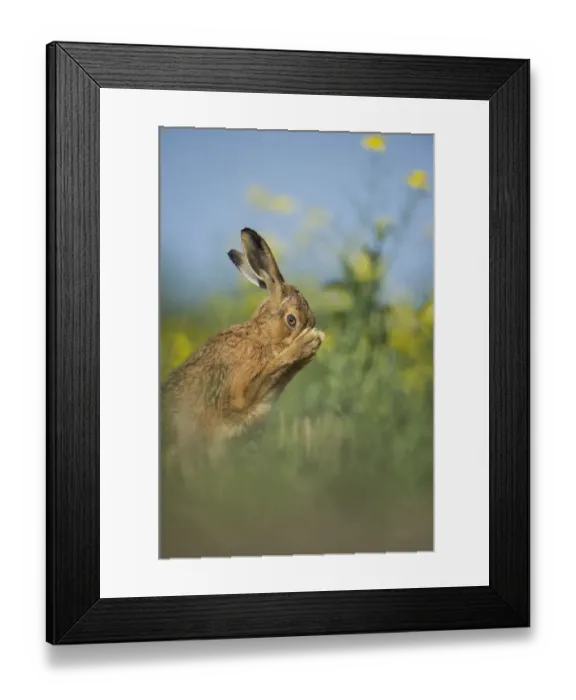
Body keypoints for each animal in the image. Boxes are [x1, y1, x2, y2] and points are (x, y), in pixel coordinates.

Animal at [161, 227, 325, 476]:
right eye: (291, 320)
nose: (314, 332)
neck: (262, 338)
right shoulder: (240, 389)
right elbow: (267, 372)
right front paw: (308, 342)